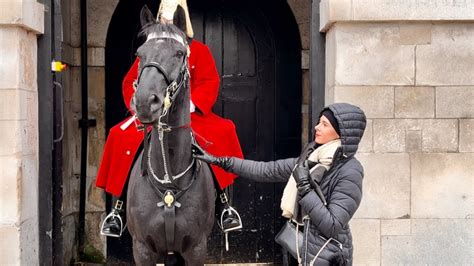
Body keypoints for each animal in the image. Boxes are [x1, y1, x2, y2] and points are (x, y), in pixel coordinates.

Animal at [126, 5, 215, 264]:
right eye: (139, 54)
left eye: (178, 53)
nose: (145, 103)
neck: (169, 184)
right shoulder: (143, 249)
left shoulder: (196, 248)